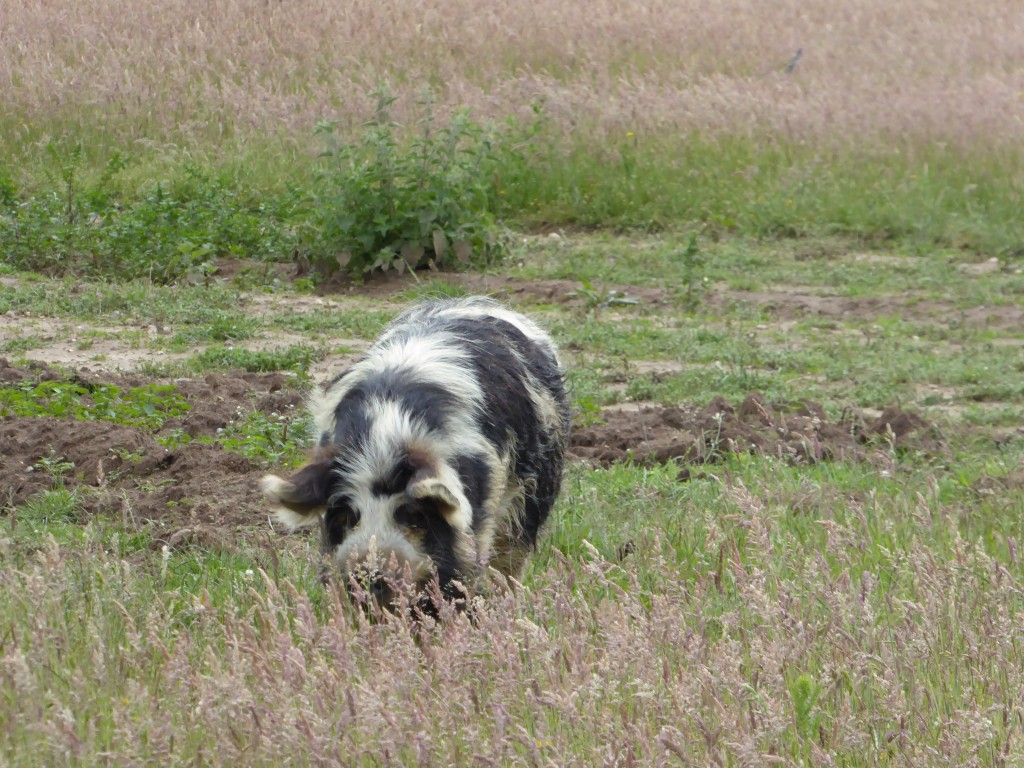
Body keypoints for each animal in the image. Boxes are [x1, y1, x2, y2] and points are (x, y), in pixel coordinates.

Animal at [260, 296, 573, 610]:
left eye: (411, 514)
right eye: (348, 515)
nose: (371, 573)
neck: (383, 442)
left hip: (537, 486)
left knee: (511, 554)